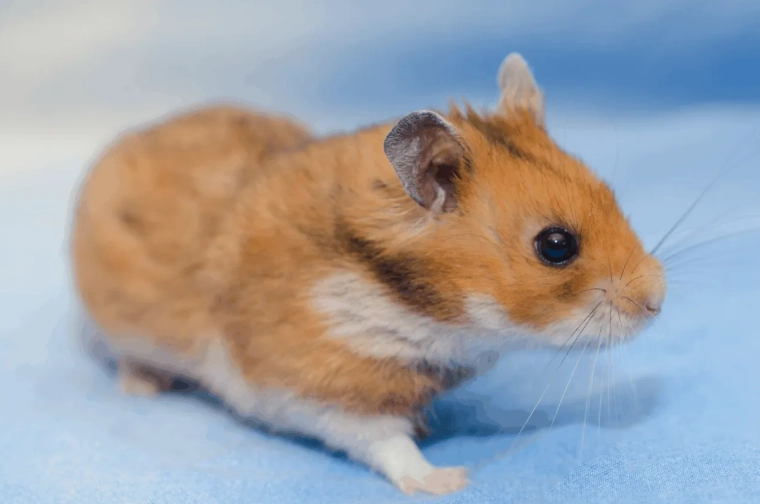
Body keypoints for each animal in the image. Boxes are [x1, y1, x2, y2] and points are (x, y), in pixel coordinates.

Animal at [69, 53, 666, 496]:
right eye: (556, 246)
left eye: (610, 194)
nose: (658, 301)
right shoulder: (320, 386)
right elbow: (384, 441)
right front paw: (449, 480)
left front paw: (429, 429)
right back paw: (142, 388)